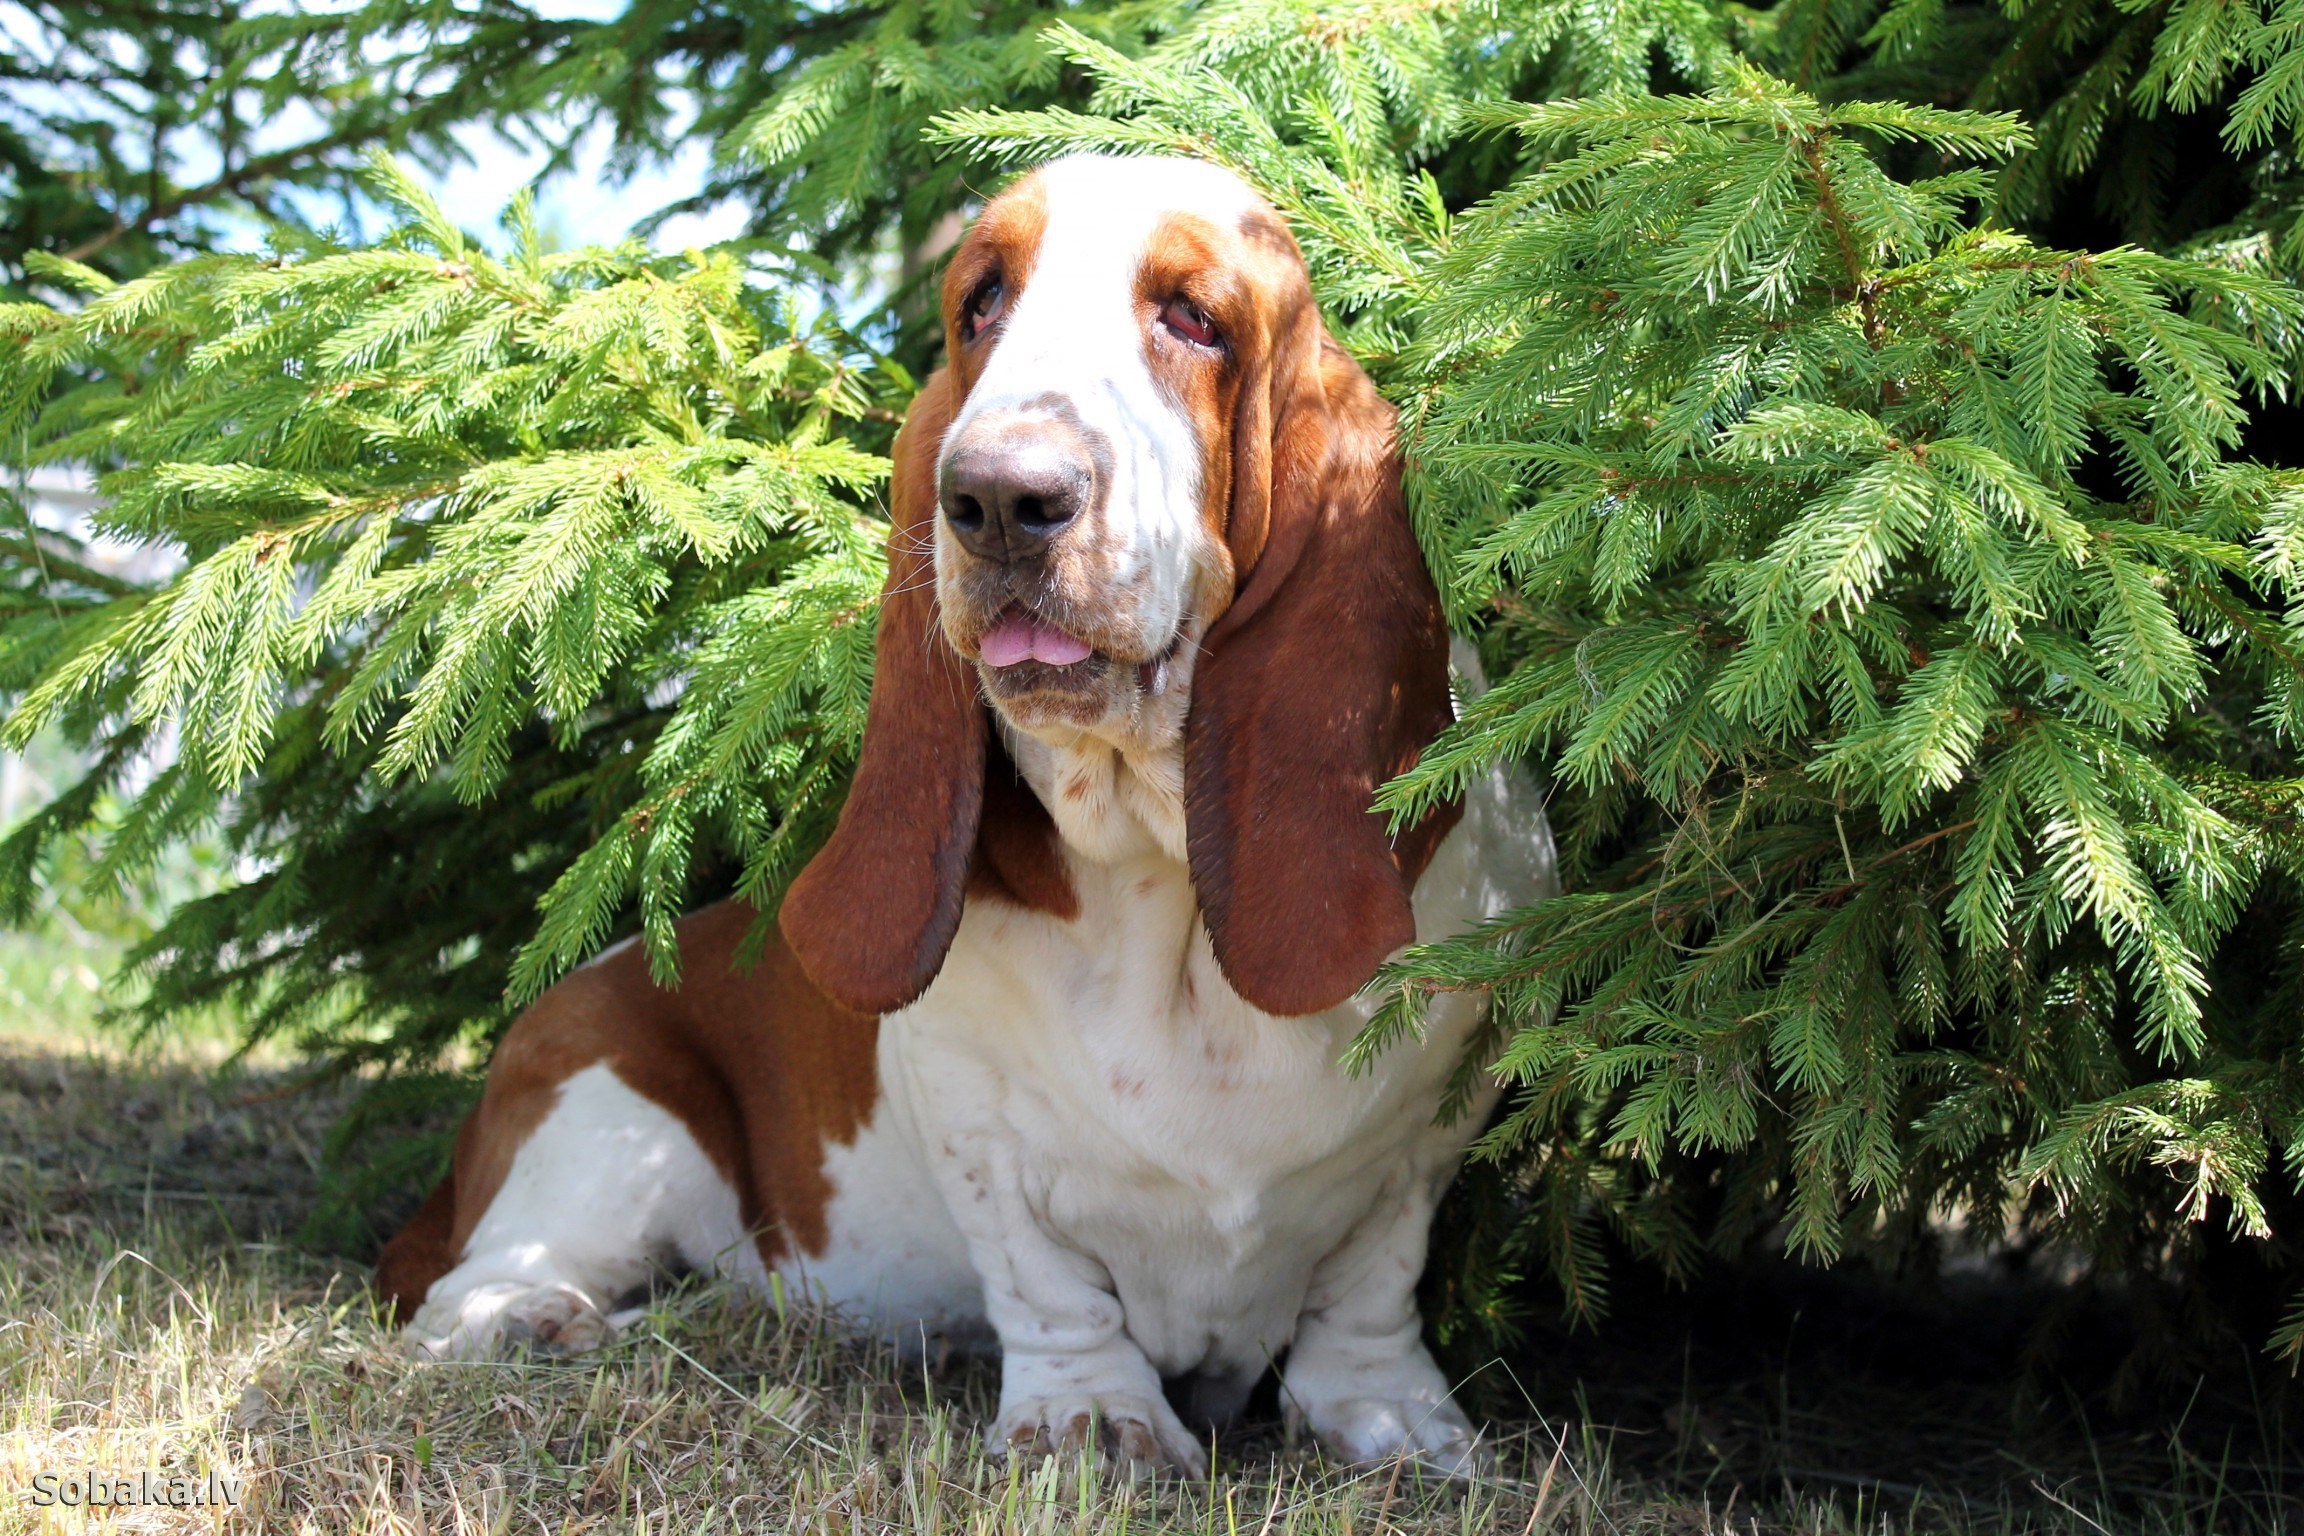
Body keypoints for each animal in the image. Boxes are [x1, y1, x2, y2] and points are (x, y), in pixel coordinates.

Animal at [377, 153, 1557, 1473]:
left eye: (1195, 317)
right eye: (981, 304)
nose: (999, 495)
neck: (1157, 869)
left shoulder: (1429, 1128)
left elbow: (1372, 1280)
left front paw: (1391, 1418)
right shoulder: (973, 1122)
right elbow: (1046, 1281)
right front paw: (1090, 1423)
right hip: (601, 1120)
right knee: (465, 1291)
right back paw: (536, 1319)